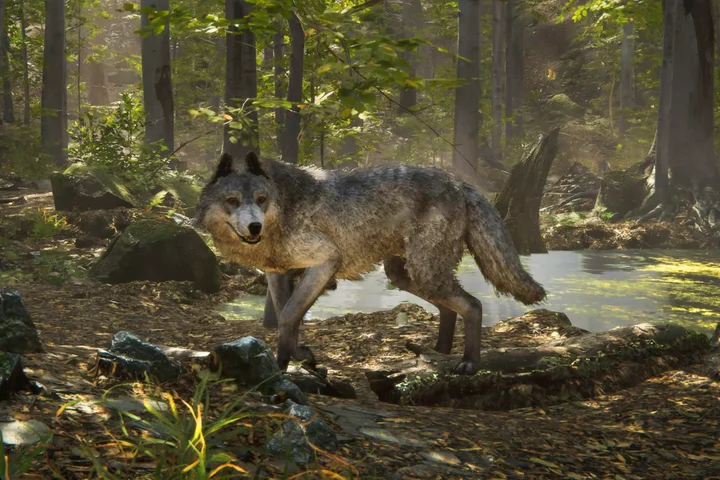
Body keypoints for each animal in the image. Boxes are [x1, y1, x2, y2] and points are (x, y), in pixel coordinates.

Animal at [195, 152, 546, 374]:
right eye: (232, 201)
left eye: (261, 200)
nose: (255, 227)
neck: (283, 209)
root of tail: (458, 182)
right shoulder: (277, 274)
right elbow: (286, 316)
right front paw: (295, 357)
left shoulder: (326, 262)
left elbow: (289, 315)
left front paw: (285, 364)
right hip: (407, 275)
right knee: (450, 308)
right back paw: (438, 352)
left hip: (423, 273)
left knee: (473, 305)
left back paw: (469, 363)